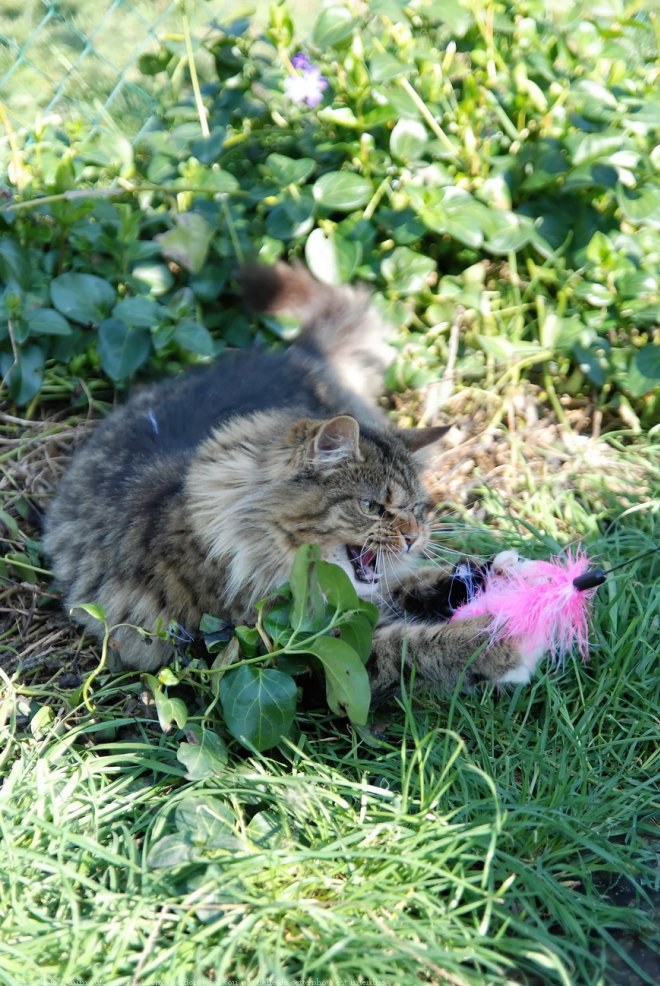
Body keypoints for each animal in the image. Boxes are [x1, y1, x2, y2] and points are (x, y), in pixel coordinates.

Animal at [43, 262, 544, 700]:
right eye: (371, 506)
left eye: (417, 510)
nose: (413, 537)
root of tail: (299, 353)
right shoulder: (313, 648)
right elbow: (414, 647)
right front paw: (504, 640)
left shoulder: (355, 599)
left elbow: (416, 582)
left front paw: (504, 577)